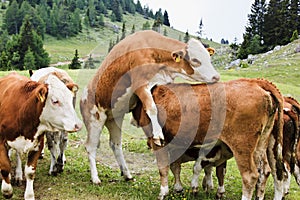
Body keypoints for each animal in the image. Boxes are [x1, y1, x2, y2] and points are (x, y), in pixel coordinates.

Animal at [79, 30, 220, 184]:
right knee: (90, 146)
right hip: (94, 119)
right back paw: (95, 177)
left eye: (208, 57)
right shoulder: (139, 83)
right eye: (195, 60)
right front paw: (158, 134)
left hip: (114, 119)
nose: (216, 76)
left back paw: (126, 173)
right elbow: (152, 108)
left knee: (115, 145)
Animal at [131, 78, 286, 200]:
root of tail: (256, 82)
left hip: (242, 146)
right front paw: (178, 188)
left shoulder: (158, 141)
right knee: (267, 171)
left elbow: (163, 168)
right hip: (262, 144)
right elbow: (176, 166)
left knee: (250, 176)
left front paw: (163, 193)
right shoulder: (175, 144)